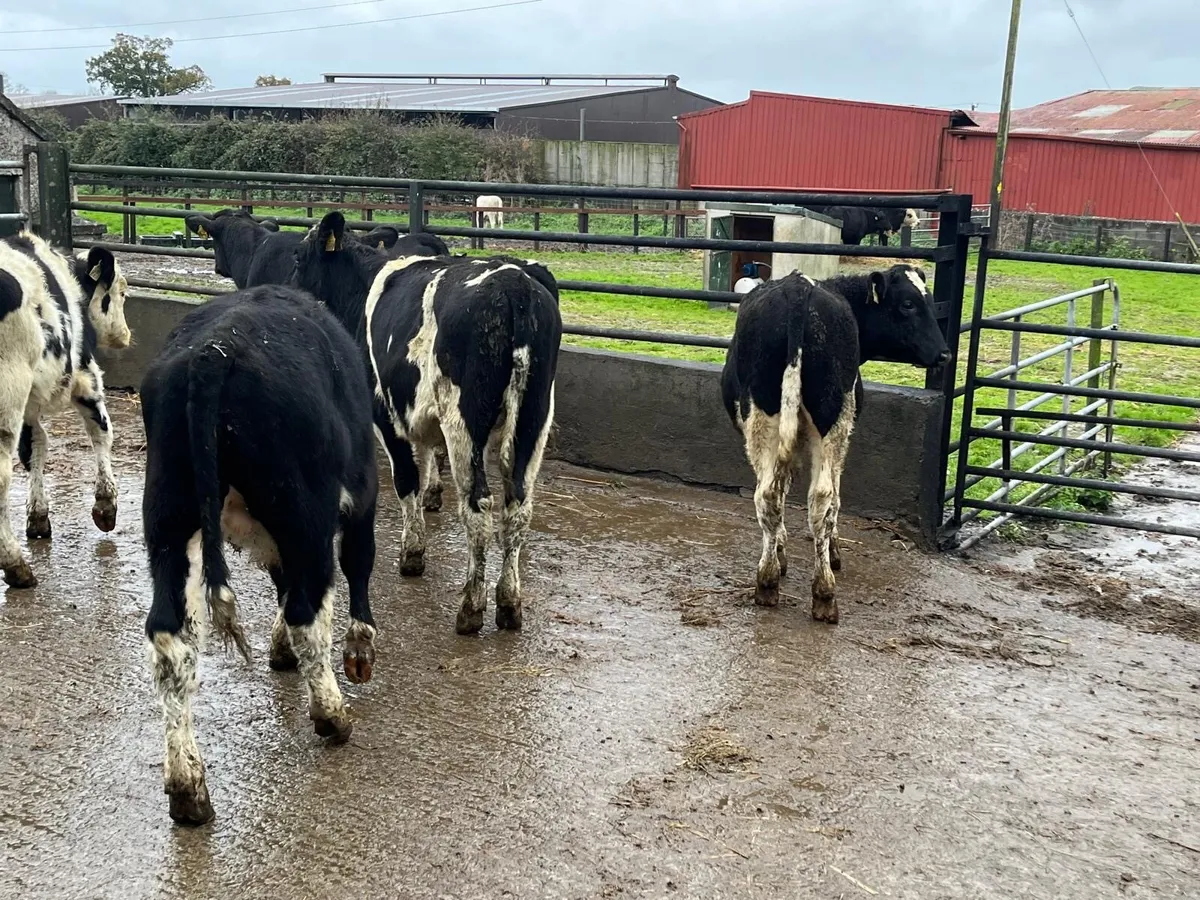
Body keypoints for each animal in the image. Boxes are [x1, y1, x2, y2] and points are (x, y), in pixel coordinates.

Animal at [0, 233, 130, 588]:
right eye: (121, 292)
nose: (125, 336)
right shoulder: (85, 372)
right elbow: (101, 430)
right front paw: (106, 505)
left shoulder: (30, 405)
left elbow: (35, 448)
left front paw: (38, 517)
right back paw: (16, 566)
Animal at [141, 285, 379, 826]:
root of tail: (214, 353)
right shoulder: (363, 494)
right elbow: (356, 565)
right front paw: (358, 649)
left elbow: (281, 580)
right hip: (304, 514)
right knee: (308, 609)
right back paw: (332, 715)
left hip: (169, 520)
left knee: (171, 638)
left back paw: (188, 789)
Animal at [292, 211, 562, 635]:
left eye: (299, 258)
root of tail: (514, 286)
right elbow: (427, 456)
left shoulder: (384, 411)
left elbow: (406, 479)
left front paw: (412, 553)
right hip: (534, 419)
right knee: (517, 505)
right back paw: (508, 604)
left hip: (464, 420)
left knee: (478, 505)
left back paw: (471, 607)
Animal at [721, 264, 950, 623]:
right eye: (909, 304)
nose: (944, 354)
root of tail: (799, 289)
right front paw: (830, 550)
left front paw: (782, 553)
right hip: (831, 419)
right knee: (819, 498)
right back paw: (817, 590)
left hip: (769, 418)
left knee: (772, 495)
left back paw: (776, 584)